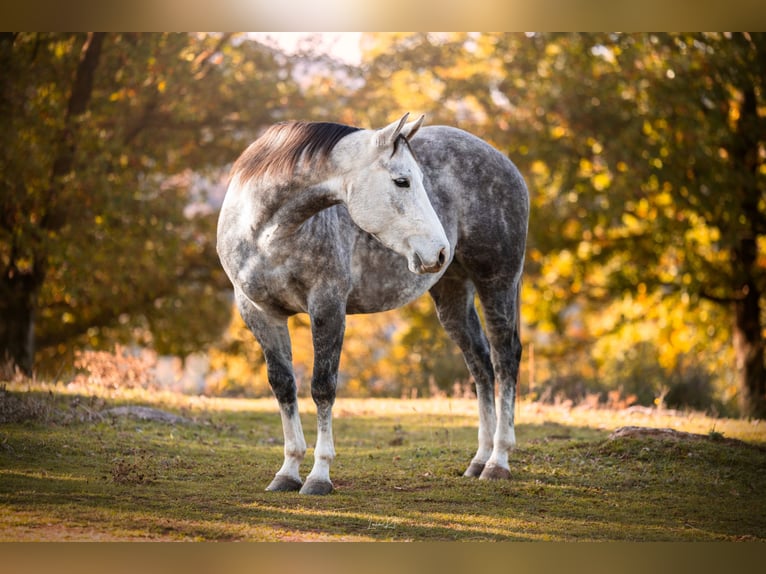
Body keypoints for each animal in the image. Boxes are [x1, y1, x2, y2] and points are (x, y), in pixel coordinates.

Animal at [216, 113, 529, 495]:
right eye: (402, 181)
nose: (439, 250)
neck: (265, 232)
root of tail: (504, 162)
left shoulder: (327, 307)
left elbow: (322, 387)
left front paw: (319, 476)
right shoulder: (261, 313)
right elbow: (283, 386)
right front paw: (287, 472)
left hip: (496, 283)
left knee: (504, 360)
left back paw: (498, 462)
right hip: (453, 294)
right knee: (481, 365)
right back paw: (479, 461)